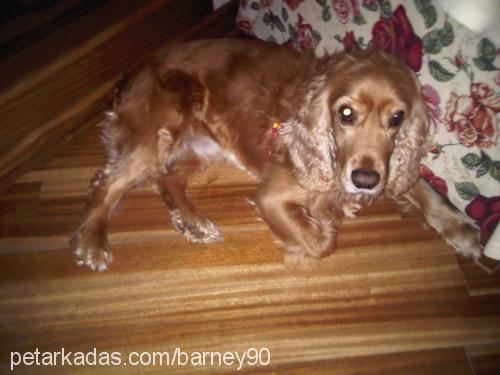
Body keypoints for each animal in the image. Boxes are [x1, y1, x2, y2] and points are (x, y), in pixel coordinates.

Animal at [70, 39, 480, 272]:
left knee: (167, 178)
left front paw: (459, 228)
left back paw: (193, 221)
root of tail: (135, 69)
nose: (365, 181)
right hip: (158, 134)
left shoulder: (389, 164)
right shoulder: (271, 196)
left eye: (397, 119)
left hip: (201, 146)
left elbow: (420, 185)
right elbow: (321, 243)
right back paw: (91, 241)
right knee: (106, 182)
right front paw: (325, 221)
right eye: (346, 113)